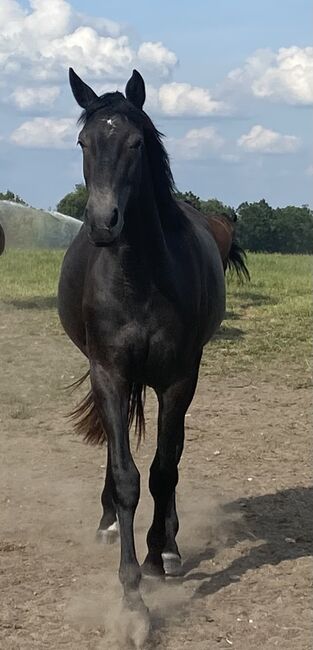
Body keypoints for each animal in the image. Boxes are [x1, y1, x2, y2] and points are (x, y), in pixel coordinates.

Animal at [57, 68, 249, 620]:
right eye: (83, 142)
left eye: (136, 142)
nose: (103, 222)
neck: (138, 278)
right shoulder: (110, 373)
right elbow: (127, 476)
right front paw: (131, 595)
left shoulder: (179, 379)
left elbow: (165, 468)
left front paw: (157, 556)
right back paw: (108, 523)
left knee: (174, 453)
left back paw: (170, 541)